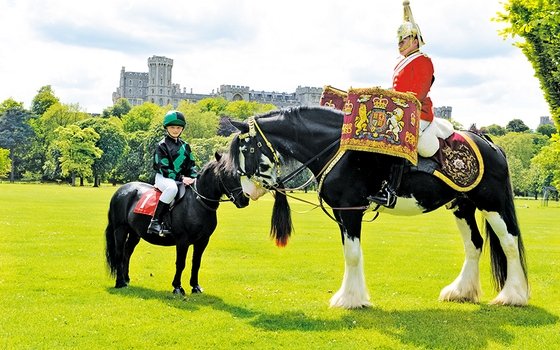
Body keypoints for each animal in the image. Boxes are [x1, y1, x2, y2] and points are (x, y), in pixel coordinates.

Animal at [105, 153, 249, 296]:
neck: (197, 201)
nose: (244, 199)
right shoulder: (182, 240)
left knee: (127, 253)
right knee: (119, 253)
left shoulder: (203, 241)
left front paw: (195, 286)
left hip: (135, 233)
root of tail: (121, 191)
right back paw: (120, 282)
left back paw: (126, 279)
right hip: (120, 230)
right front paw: (177, 287)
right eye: (226, 174)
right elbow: (180, 263)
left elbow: (196, 262)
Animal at [228, 107, 528, 308]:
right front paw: (355, 296)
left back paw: (512, 296)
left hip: (492, 204)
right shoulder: (342, 213)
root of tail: (487, 141)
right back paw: (461, 292)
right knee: (474, 244)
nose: (246, 193)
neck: (338, 148)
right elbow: (351, 253)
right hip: (462, 206)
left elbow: (352, 255)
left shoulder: (350, 210)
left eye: (247, 149)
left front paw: (350, 299)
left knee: (509, 242)